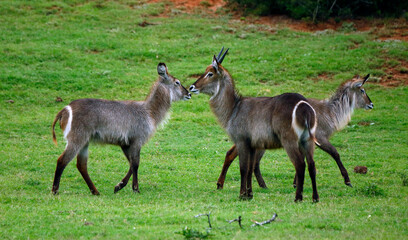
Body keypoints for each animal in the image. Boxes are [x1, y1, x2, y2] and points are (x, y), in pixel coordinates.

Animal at [51, 63, 190, 195]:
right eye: (177, 82)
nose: (188, 94)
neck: (149, 112)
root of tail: (65, 110)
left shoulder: (125, 143)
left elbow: (131, 164)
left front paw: (119, 186)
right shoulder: (137, 140)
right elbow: (135, 164)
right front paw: (135, 189)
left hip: (85, 142)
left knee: (81, 165)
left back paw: (95, 191)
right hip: (77, 138)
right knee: (62, 160)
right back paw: (55, 190)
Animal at [190, 47, 320, 202]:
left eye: (210, 73)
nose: (192, 87)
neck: (234, 108)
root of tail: (303, 105)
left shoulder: (241, 141)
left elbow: (243, 168)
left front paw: (241, 195)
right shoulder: (252, 144)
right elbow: (250, 168)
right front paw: (249, 194)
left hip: (290, 140)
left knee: (300, 164)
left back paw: (298, 198)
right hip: (308, 140)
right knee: (312, 165)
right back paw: (315, 198)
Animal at [217, 74, 372, 190]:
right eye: (362, 90)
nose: (371, 104)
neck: (330, 111)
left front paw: (295, 183)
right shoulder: (320, 138)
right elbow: (335, 153)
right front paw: (348, 180)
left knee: (236, 155)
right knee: (244, 158)